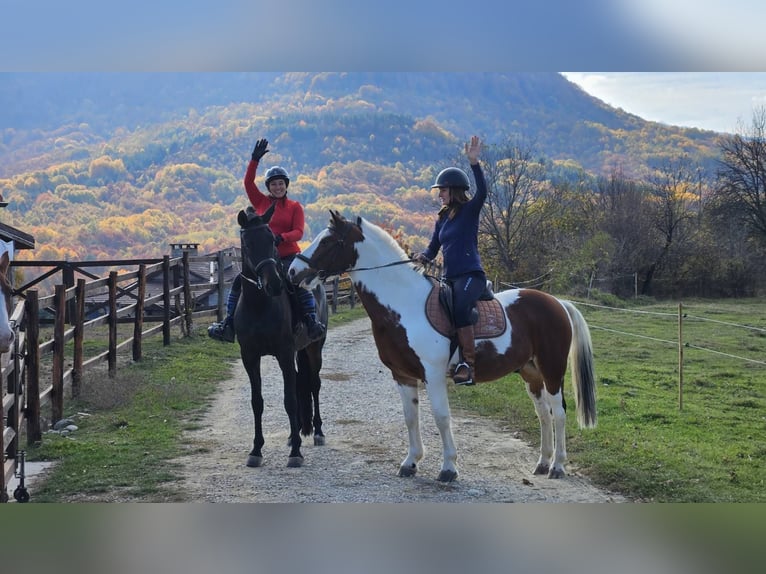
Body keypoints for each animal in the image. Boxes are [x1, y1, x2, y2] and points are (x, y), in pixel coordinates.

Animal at [234, 204, 328, 468]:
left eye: (273, 241)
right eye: (247, 244)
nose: (274, 285)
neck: (259, 305)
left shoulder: (285, 354)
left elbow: (290, 401)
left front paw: (296, 452)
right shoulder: (250, 357)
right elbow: (257, 402)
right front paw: (256, 450)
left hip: (314, 348)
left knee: (314, 384)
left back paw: (317, 432)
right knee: (300, 383)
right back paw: (291, 435)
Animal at [288, 211, 597, 483]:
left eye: (328, 241)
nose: (292, 271)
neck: (404, 304)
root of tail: (557, 303)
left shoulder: (433, 374)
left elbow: (441, 417)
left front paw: (448, 468)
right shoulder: (402, 375)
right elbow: (410, 417)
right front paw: (410, 463)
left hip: (552, 370)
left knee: (558, 413)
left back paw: (558, 466)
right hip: (530, 372)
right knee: (543, 413)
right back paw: (543, 463)